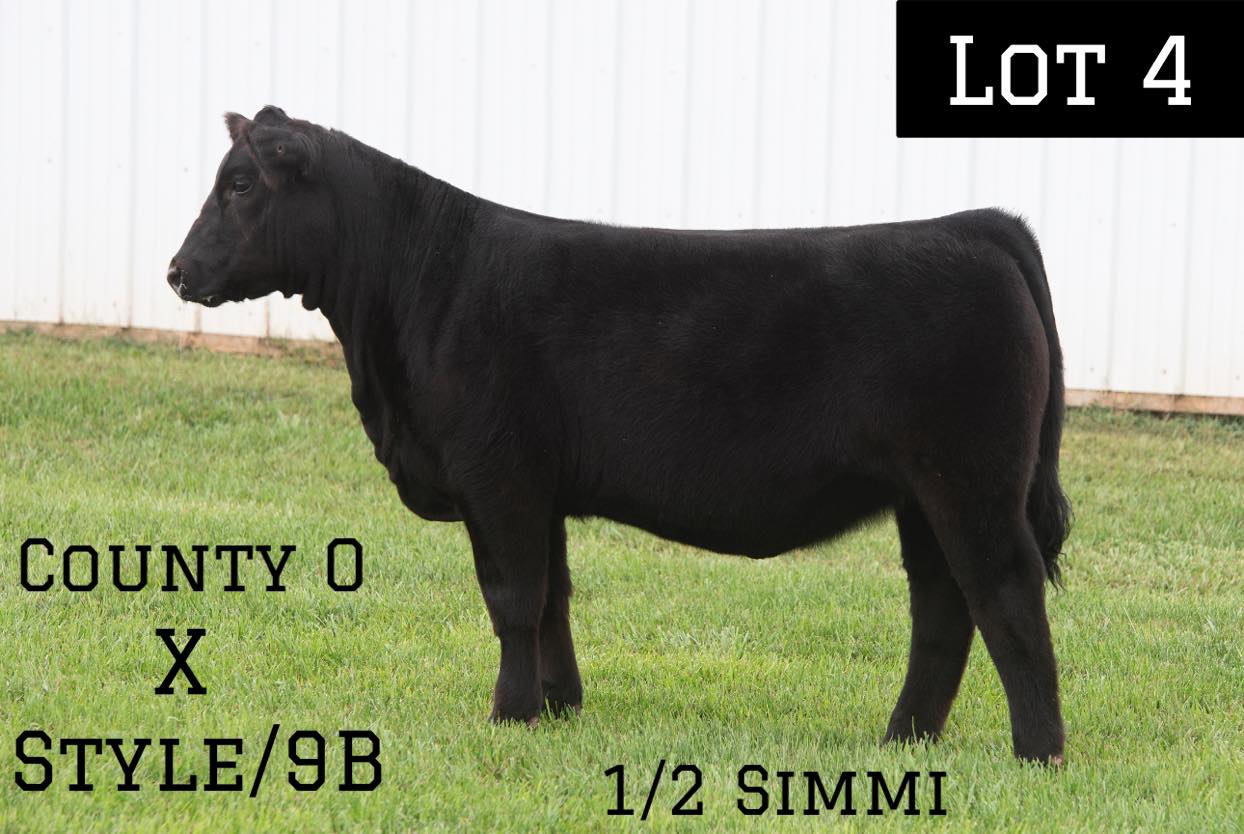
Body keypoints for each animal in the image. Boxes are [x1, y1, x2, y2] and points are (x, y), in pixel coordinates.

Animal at [170, 106, 1072, 763]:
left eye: (241, 184)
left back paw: (1039, 752)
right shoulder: (538, 487)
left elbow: (512, 597)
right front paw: (560, 706)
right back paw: (903, 740)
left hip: (971, 480)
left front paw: (511, 715)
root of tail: (975, 224)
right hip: (921, 492)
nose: (178, 271)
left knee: (1004, 591)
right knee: (943, 605)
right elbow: (553, 597)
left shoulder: (496, 473)